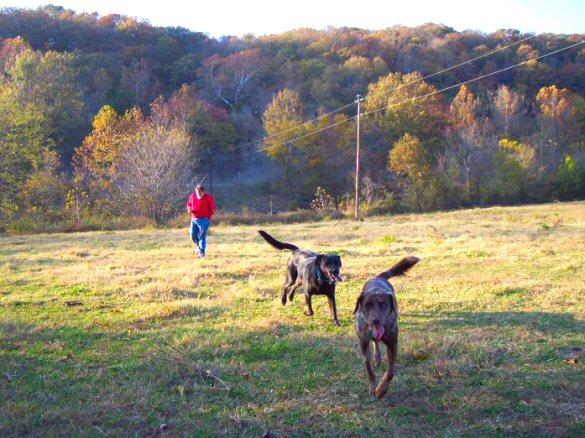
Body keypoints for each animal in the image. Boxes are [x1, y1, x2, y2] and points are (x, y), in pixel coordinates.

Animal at [354, 255, 418, 398]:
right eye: (367, 305)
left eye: (383, 305)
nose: (375, 321)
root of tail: (379, 278)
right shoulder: (363, 342)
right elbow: (369, 367)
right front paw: (373, 387)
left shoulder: (392, 344)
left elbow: (390, 372)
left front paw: (381, 390)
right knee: (375, 343)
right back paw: (377, 358)